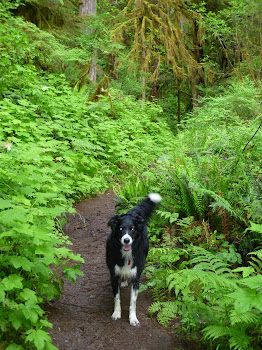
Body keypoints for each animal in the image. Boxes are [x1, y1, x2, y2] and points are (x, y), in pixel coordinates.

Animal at [106, 193, 162, 326]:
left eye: (132, 229)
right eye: (120, 229)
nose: (126, 240)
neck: (126, 254)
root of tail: (132, 213)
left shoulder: (136, 276)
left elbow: (133, 302)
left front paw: (133, 318)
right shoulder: (113, 274)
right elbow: (117, 298)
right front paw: (116, 313)